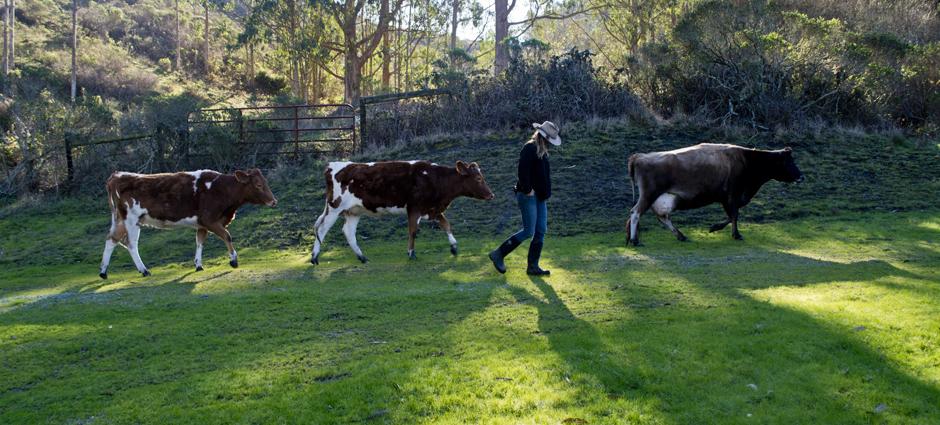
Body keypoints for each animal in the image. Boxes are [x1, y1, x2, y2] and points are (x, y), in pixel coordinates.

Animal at [99, 169, 278, 278]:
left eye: (265, 182)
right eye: (258, 184)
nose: (273, 201)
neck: (220, 189)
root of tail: (117, 176)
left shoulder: (202, 224)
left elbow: (199, 242)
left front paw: (198, 265)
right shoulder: (209, 220)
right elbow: (227, 236)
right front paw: (234, 261)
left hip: (120, 219)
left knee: (111, 239)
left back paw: (103, 272)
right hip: (131, 220)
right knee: (130, 244)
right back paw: (144, 270)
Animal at [312, 161, 496, 264]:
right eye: (478, 178)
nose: (491, 195)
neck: (434, 178)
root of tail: (332, 166)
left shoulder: (432, 208)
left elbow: (446, 225)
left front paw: (454, 247)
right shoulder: (414, 208)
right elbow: (413, 231)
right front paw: (411, 253)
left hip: (353, 211)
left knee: (348, 232)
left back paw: (362, 257)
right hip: (335, 207)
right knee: (322, 229)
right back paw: (314, 258)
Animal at [628, 142, 804, 243]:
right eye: (789, 161)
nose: (801, 176)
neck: (747, 160)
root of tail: (640, 156)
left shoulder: (727, 198)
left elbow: (731, 216)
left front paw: (718, 228)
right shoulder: (732, 196)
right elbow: (734, 215)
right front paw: (734, 234)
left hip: (663, 198)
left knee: (662, 217)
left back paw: (680, 236)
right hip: (649, 194)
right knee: (636, 212)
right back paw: (634, 240)